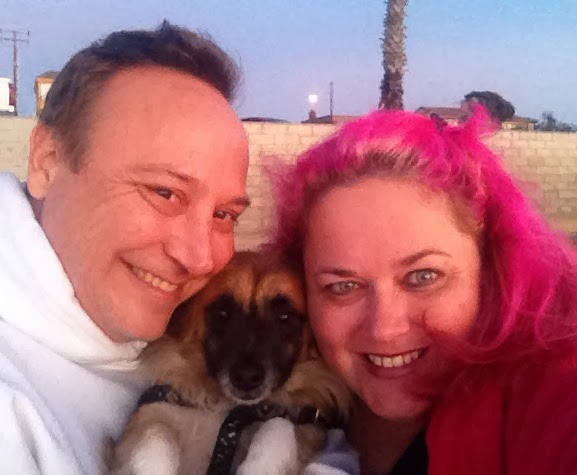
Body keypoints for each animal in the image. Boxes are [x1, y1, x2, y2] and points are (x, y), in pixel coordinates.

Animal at [109, 251, 350, 475]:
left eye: (285, 316)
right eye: (222, 312)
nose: (246, 377)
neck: (229, 408)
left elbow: (278, 426)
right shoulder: (151, 414)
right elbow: (155, 434)